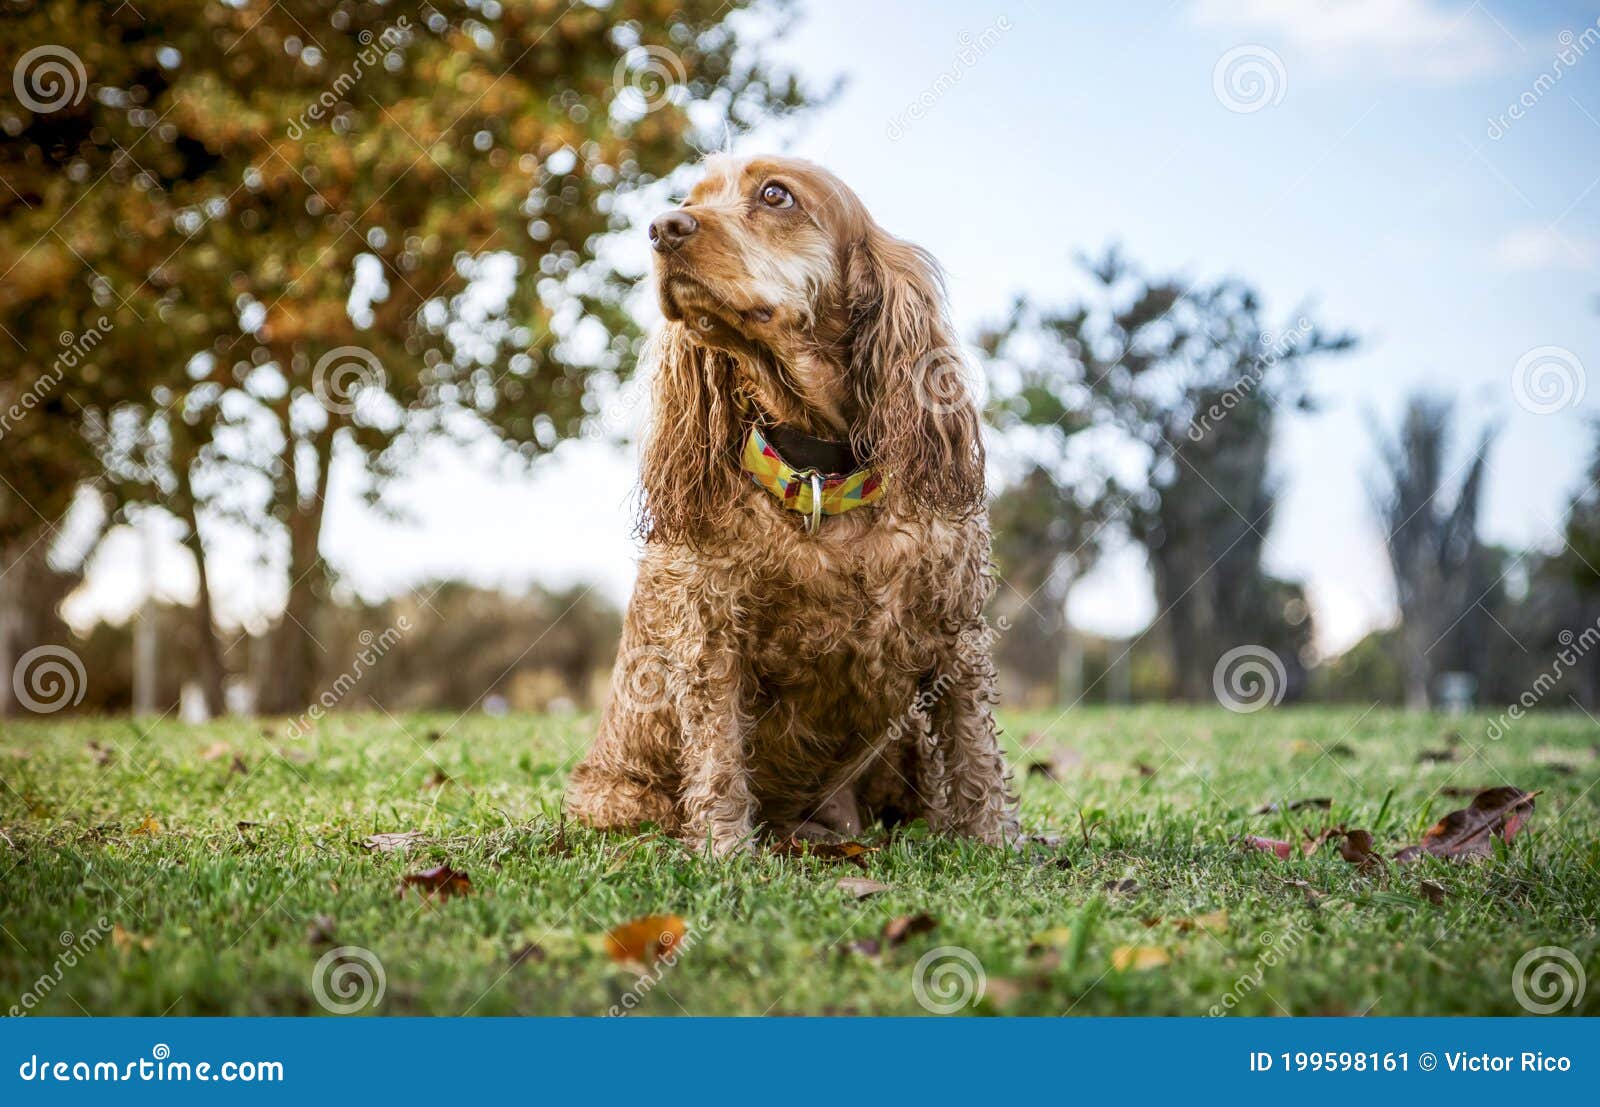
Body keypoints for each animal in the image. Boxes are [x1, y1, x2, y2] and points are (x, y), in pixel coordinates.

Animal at [566, 153, 1011, 857]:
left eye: (776, 195)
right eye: (689, 199)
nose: (662, 227)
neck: (821, 476)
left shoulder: (955, 632)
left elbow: (974, 757)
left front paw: (993, 845)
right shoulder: (712, 638)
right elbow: (719, 758)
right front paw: (723, 853)